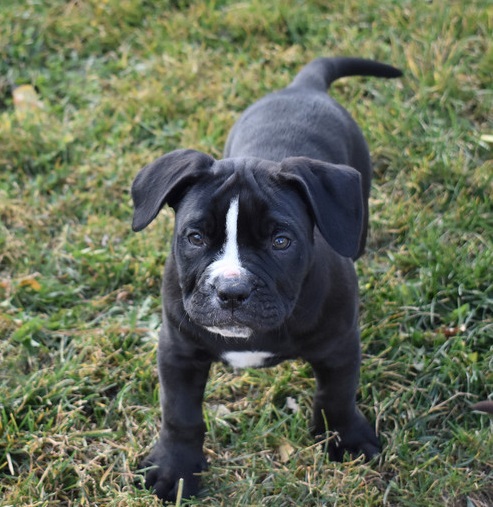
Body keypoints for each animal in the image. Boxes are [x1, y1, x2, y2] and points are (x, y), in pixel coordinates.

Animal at [131, 57, 400, 502]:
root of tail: (303, 86)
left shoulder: (340, 346)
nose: (231, 291)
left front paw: (347, 439)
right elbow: (180, 414)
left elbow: (337, 395)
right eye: (195, 237)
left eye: (281, 241)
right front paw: (175, 468)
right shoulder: (178, 351)